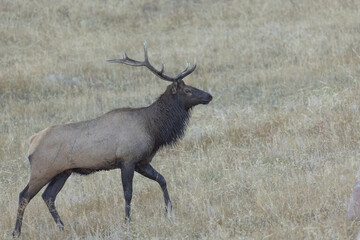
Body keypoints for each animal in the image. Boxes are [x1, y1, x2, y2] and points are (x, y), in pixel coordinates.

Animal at [12, 42, 212, 236]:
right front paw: (128, 222)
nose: (209, 96)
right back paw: (16, 231)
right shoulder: (127, 160)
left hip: (63, 172)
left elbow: (162, 179)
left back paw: (62, 227)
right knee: (24, 195)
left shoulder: (142, 162)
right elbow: (128, 193)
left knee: (48, 196)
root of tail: (31, 142)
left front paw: (168, 210)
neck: (153, 130)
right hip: (42, 170)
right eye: (188, 90)